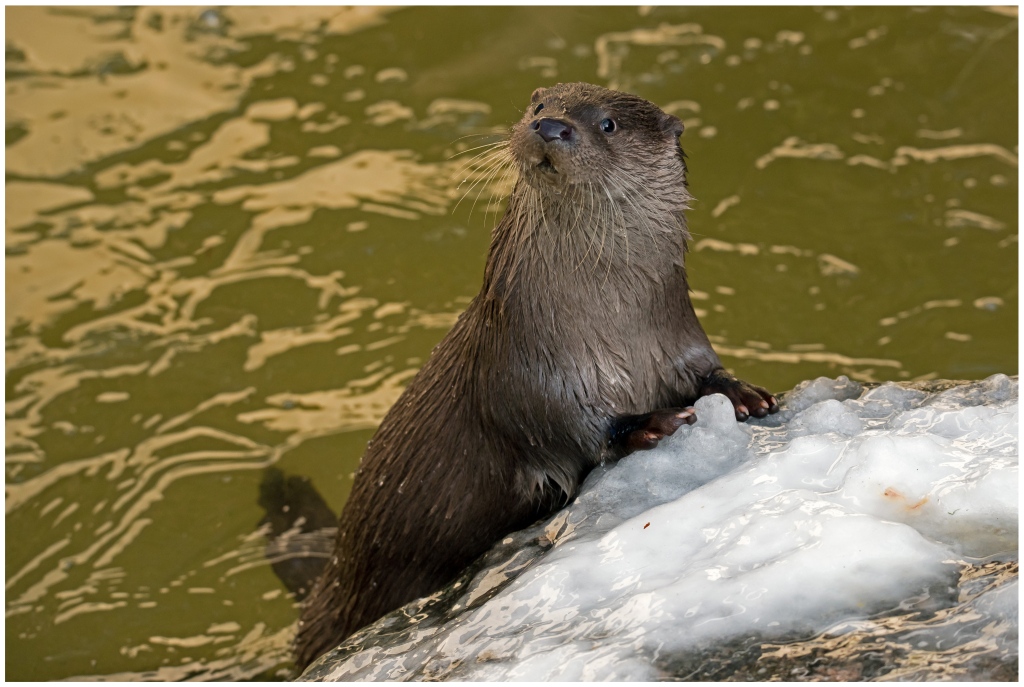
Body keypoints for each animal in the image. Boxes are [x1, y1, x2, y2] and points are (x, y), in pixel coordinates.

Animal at [294, 82, 778, 669]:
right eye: (540, 106)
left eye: (608, 123)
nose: (551, 128)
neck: (611, 321)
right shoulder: (525, 366)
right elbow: (565, 424)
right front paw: (651, 422)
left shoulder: (677, 333)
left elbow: (706, 371)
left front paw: (743, 393)